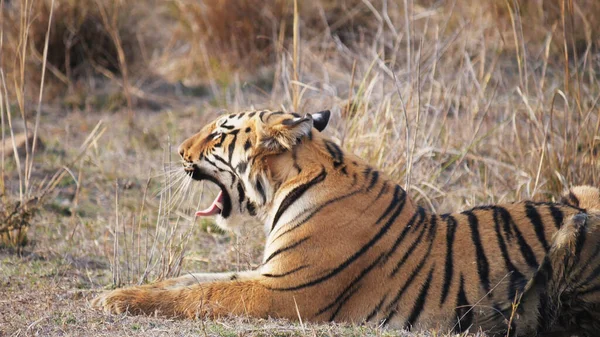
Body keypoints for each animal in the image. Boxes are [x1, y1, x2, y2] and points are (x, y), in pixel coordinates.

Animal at [91, 109, 600, 334]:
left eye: (220, 133)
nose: (178, 151)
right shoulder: (266, 272)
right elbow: (187, 281)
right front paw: (114, 295)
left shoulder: (282, 290)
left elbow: (203, 294)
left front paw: (111, 302)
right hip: (581, 192)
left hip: (576, 227)